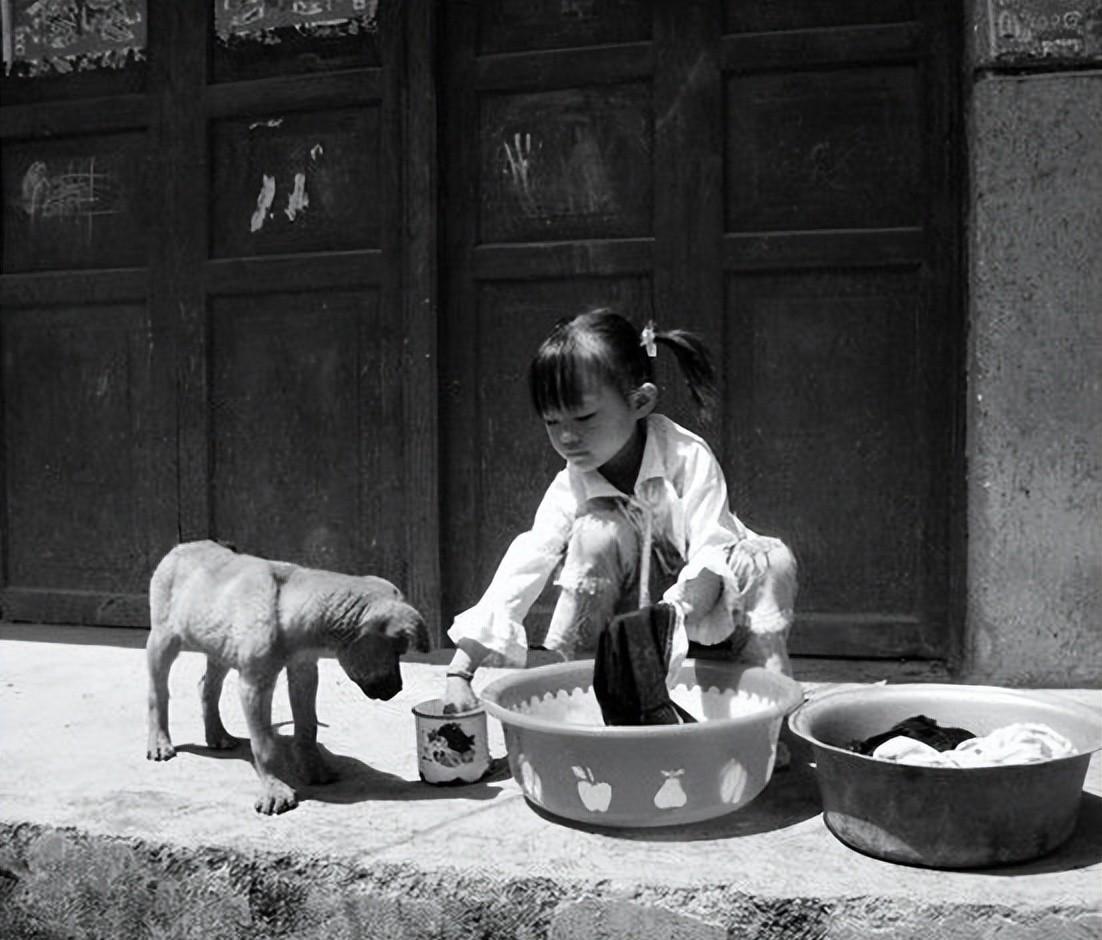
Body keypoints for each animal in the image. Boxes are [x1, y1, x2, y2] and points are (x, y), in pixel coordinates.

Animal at [148, 542, 431, 815]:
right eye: (397, 650)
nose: (398, 689)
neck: (289, 609)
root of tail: (180, 547)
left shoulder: (304, 671)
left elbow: (307, 725)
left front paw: (313, 768)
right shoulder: (254, 684)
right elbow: (264, 744)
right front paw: (275, 790)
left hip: (219, 645)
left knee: (207, 686)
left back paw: (217, 735)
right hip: (163, 639)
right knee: (158, 693)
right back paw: (160, 742)